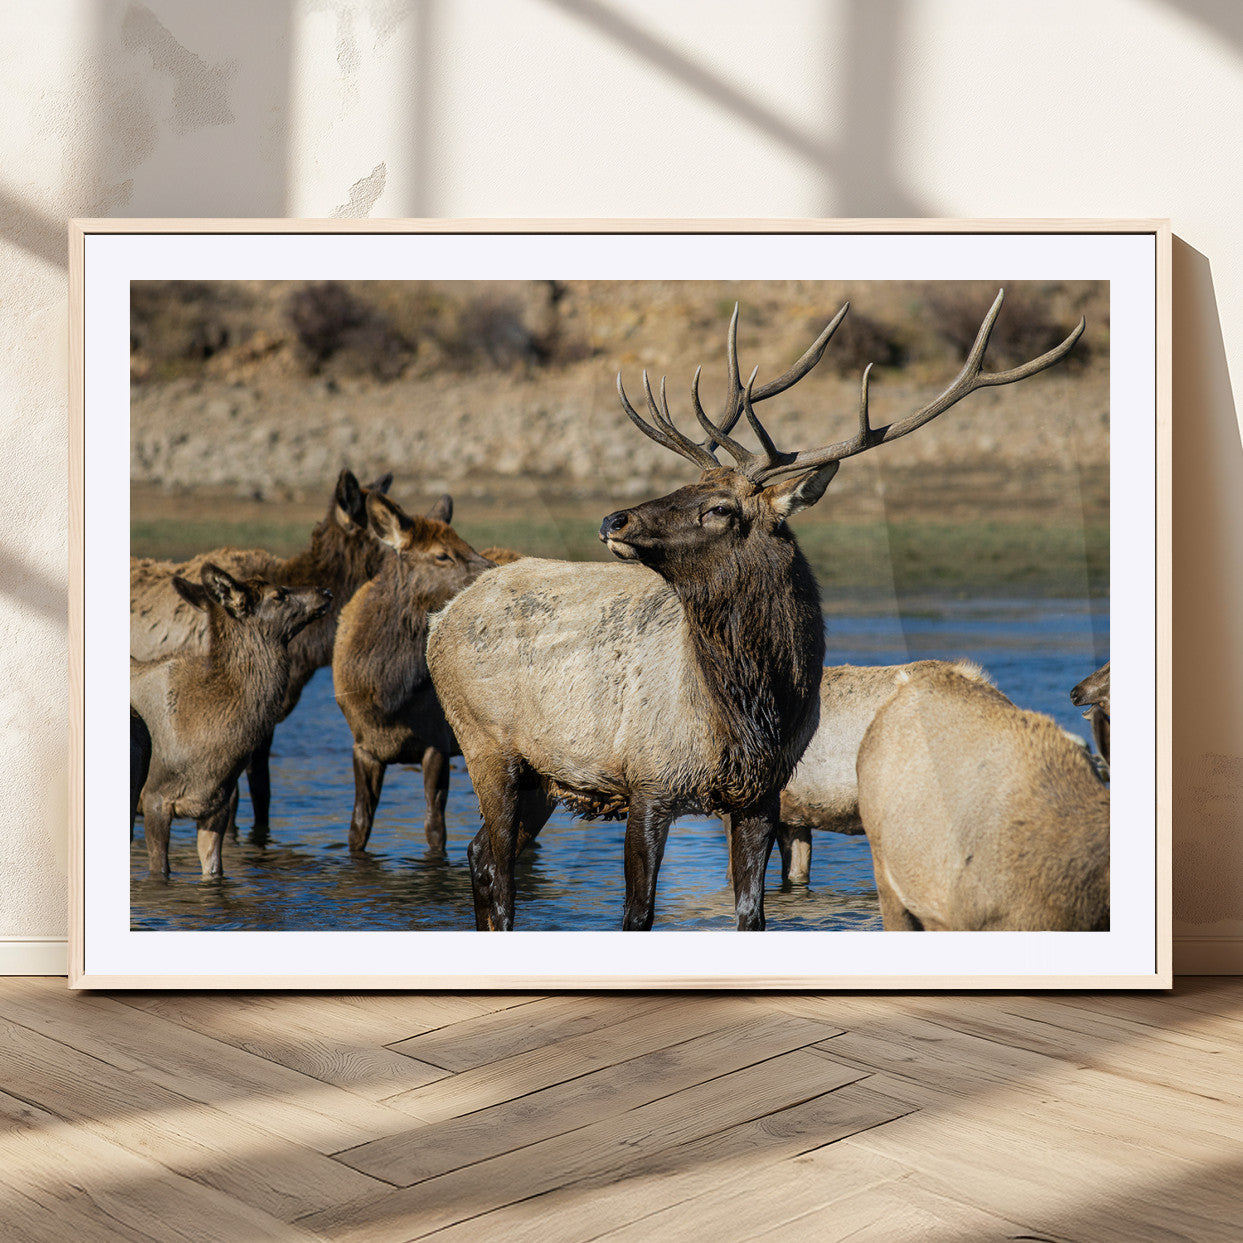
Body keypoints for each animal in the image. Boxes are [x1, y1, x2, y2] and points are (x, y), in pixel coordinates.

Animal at [130, 564, 332, 878]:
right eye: (278, 594)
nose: (326, 591)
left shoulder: (217, 805)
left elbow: (215, 870)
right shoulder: (154, 798)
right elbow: (159, 870)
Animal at [332, 491, 495, 854]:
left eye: (468, 544)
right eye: (442, 554)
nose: (495, 572)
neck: (388, 697)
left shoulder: (437, 742)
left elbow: (435, 829)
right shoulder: (362, 745)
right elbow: (357, 828)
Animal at [428, 291, 1084, 931]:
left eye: (718, 506)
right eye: (684, 486)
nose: (614, 519)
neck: (748, 713)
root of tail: (443, 617)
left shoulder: (764, 796)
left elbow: (753, 913)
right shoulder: (649, 780)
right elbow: (638, 915)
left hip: (539, 773)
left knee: (481, 854)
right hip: (485, 744)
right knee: (496, 868)